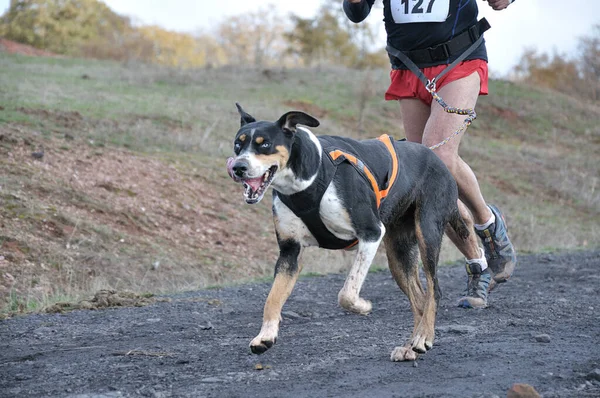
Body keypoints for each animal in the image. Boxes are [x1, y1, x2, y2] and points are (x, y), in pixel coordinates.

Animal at [227, 104, 472, 362]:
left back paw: (424, 337)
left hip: (427, 234)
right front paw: (265, 336)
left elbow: (347, 293)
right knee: (419, 298)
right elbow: (272, 298)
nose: (238, 167)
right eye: (238, 144)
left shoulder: (371, 233)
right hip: (399, 253)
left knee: (434, 290)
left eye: (264, 144)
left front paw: (363, 306)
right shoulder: (290, 251)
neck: (305, 183)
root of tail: (438, 159)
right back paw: (410, 346)